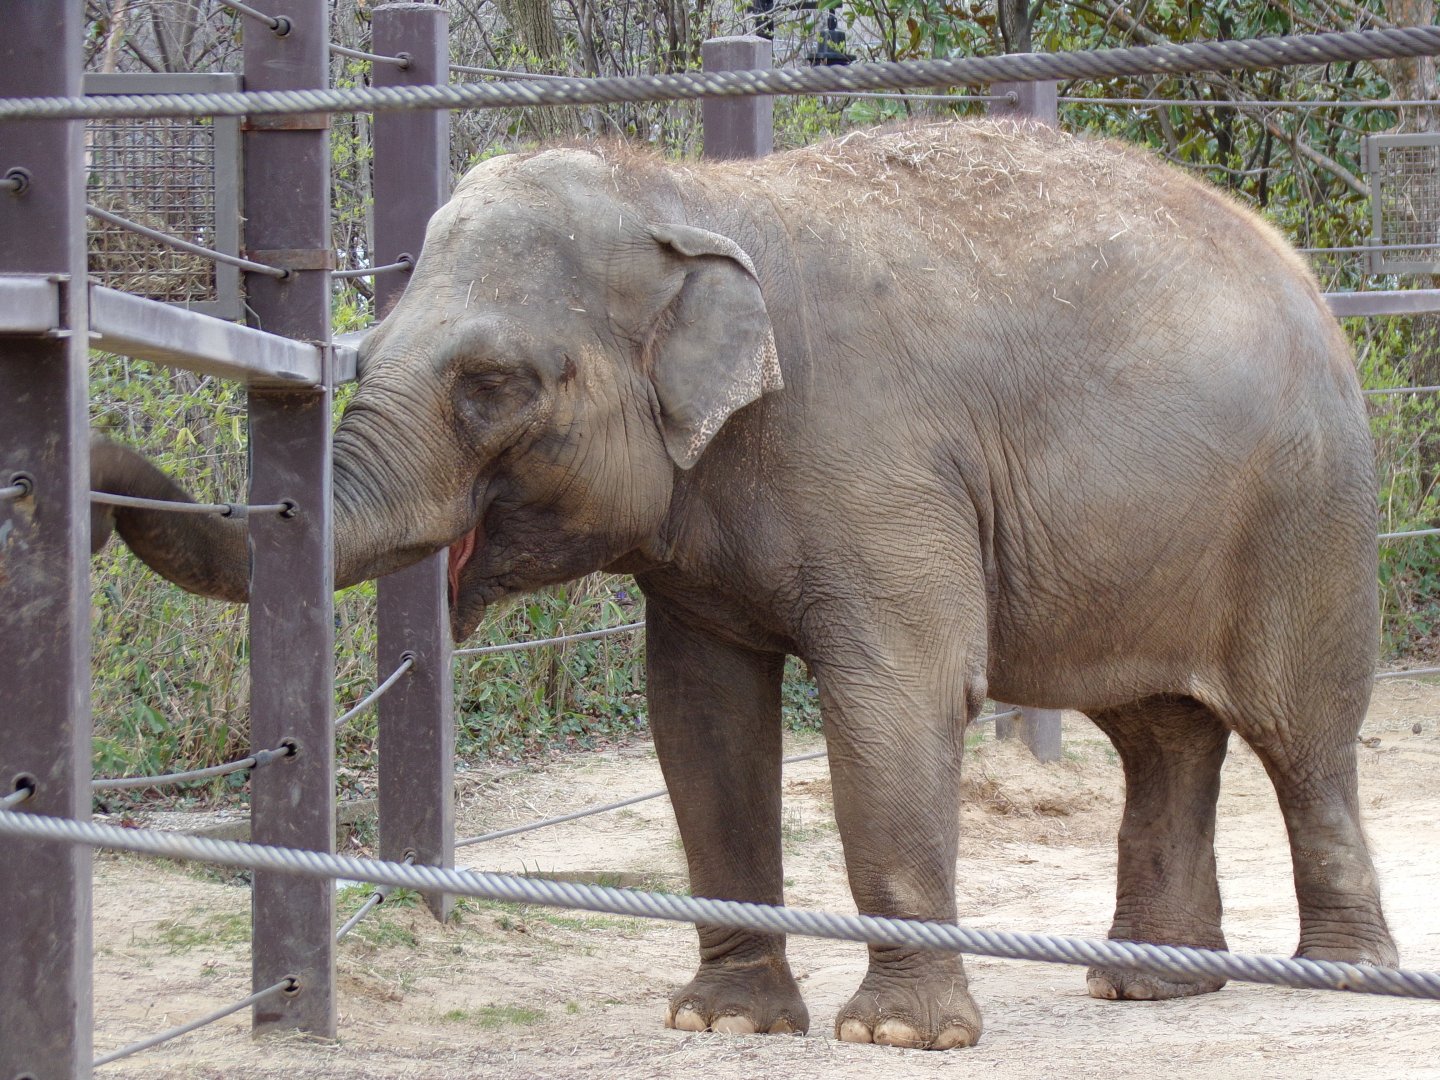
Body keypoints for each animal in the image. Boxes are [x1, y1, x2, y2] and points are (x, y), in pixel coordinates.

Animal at [91, 118, 1397, 1050]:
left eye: (497, 383)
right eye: (360, 358)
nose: (96, 483)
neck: (691, 194)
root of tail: (1302, 274)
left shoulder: (882, 460)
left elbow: (899, 696)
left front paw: (898, 1037)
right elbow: (701, 714)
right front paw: (723, 1022)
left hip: (1310, 513)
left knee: (1301, 735)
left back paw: (1336, 980)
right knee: (1160, 733)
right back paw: (1143, 987)